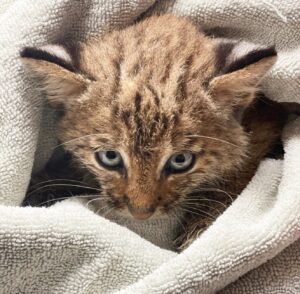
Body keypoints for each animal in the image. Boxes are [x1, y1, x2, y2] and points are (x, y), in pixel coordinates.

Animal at [22, 13, 290, 248]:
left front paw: (200, 229)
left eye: (181, 160)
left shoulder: (263, 127)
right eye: (110, 157)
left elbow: (237, 173)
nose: (140, 213)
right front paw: (43, 186)